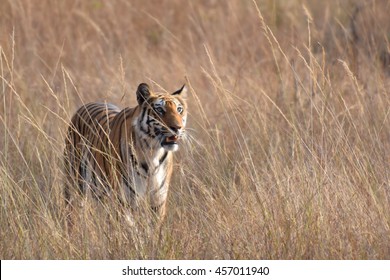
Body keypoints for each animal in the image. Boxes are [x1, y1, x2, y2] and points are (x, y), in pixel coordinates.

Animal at [63, 82, 187, 224]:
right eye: (160, 110)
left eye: (179, 110)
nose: (177, 128)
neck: (152, 152)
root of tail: (84, 107)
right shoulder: (125, 200)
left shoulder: (158, 201)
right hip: (73, 183)